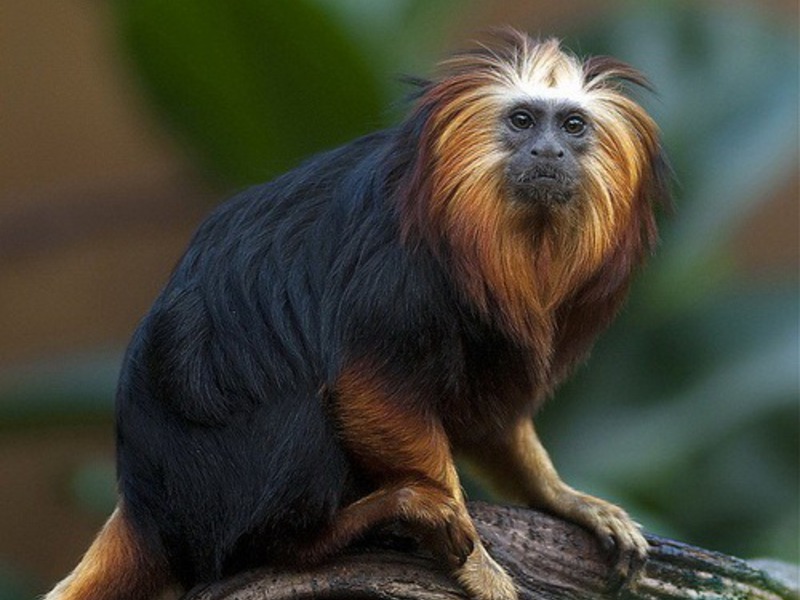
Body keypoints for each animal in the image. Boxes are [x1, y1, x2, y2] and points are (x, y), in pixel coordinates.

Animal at [45, 30, 670, 600]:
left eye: (572, 126)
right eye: (522, 121)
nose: (547, 153)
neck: (483, 237)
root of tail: (142, 499)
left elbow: (491, 415)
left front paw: (563, 496)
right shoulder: (398, 276)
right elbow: (367, 387)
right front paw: (473, 560)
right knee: (296, 416)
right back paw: (337, 530)